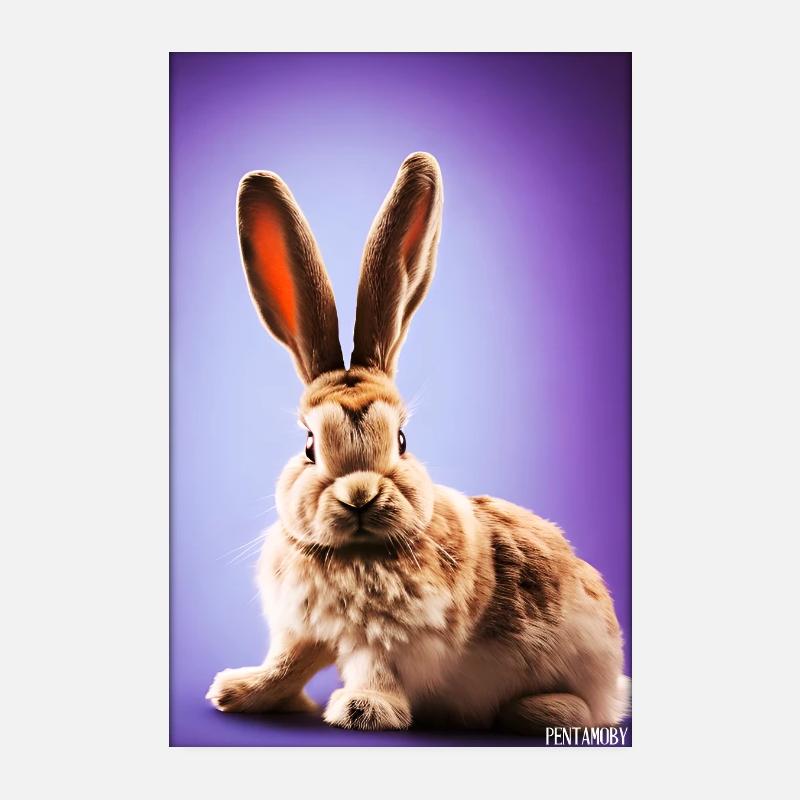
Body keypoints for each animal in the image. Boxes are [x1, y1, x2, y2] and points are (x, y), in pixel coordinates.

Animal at [206, 152, 630, 733]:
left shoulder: (389, 639)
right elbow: (287, 664)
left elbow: (374, 669)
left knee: (586, 708)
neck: (356, 554)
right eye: (310, 445)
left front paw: (363, 710)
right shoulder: (303, 631)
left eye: (403, 439)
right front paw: (236, 692)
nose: (359, 495)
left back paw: (538, 709)